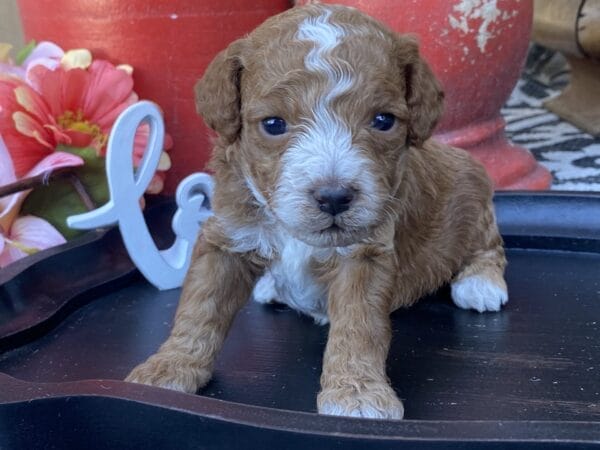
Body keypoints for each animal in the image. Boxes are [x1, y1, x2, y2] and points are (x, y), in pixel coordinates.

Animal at [126, 3, 506, 420]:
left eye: (383, 120)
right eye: (273, 124)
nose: (334, 197)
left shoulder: (365, 254)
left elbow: (359, 327)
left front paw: (357, 395)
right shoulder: (228, 237)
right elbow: (199, 308)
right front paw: (168, 368)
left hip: (474, 195)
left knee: (489, 246)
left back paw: (481, 284)